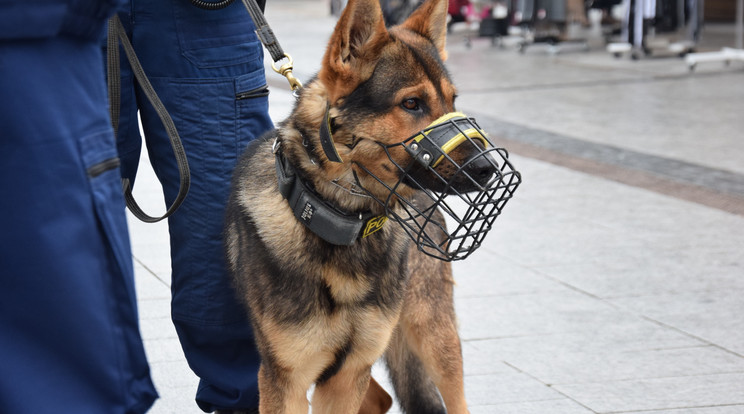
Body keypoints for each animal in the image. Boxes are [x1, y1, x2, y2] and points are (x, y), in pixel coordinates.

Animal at [224, 0, 512, 410]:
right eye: (412, 103)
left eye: (452, 102)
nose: (488, 168)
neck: (343, 223)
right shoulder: (288, 380)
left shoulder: (347, 375)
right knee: (382, 399)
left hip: (432, 334)